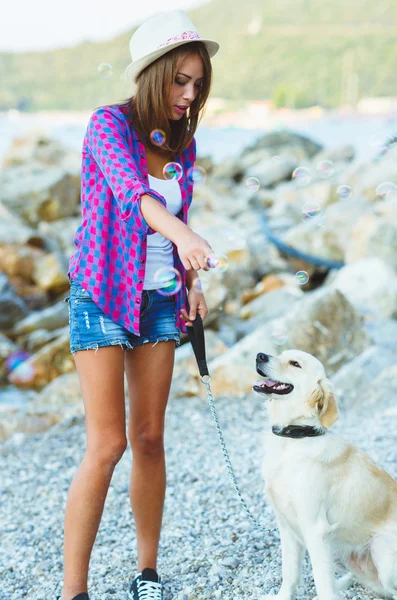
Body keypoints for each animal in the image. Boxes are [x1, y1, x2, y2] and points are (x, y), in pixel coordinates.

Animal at [254, 350, 396, 596]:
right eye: (280, 354)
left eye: (295, 364)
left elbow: (321, 581)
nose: (260, 355)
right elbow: (289, 573)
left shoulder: (315, 529)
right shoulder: (286, 526)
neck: (294, 439)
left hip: (381, 548)